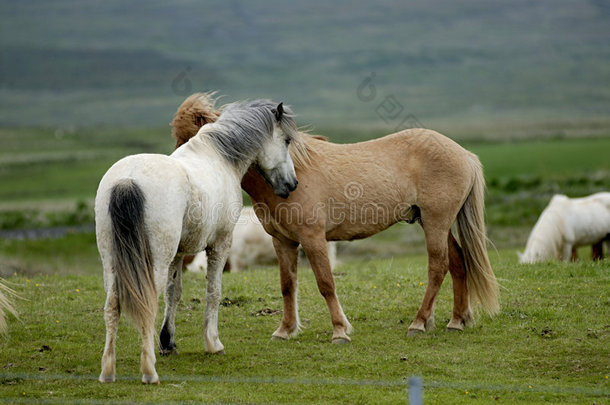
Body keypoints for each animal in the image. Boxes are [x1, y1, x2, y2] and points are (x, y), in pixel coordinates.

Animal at [94, 99, 300, 384]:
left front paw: (168, 342)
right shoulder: (221, 245)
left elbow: (174, 293)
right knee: (146, 303)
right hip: (153, 263)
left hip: (112, 263)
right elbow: (213, 291)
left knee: (112, 305)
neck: (219, 157)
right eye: (287, 140)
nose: (292, 184)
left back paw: (108, 371)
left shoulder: (179, 253)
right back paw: (149, 372)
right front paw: (213, 343)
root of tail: (128, 180)